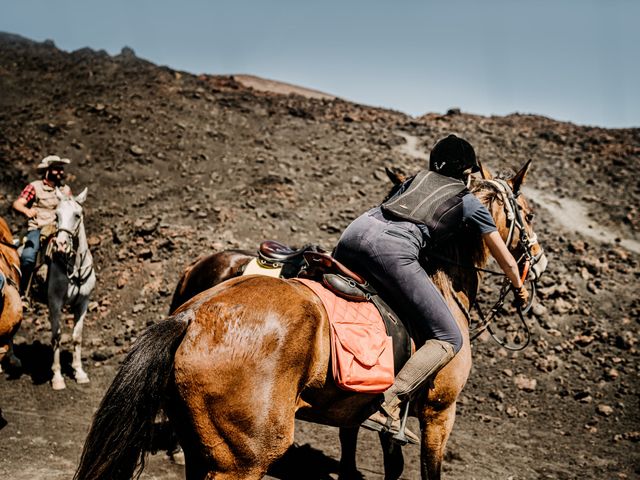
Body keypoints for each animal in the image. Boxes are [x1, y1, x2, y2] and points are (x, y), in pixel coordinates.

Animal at [74, 162, 544, 480]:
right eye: (527, 213)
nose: (537, 264)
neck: (441, 279)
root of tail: (192, 317)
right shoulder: (438, 412)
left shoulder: (367, 408)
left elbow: (377, 453)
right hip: (243, 458)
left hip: (203, 447)